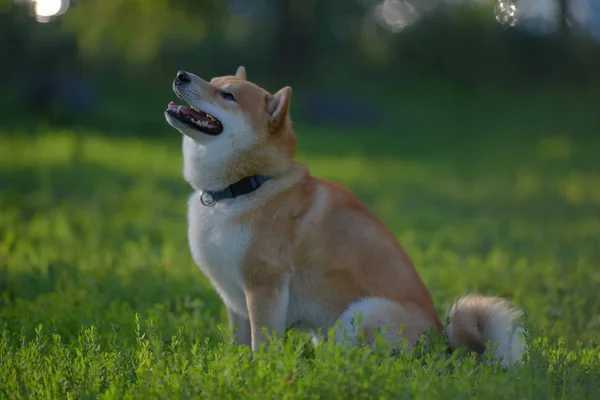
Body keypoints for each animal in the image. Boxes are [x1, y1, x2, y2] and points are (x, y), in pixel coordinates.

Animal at [164, 66, 524, 366]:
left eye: (227, 95)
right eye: (213, 80)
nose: (181, 75)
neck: (244, 187)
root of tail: (444, 345)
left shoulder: (264, 286)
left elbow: (261, 345)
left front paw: (257, 374)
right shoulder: (235, 301)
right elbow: (238, 344)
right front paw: (233, 368)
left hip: (362, 313)